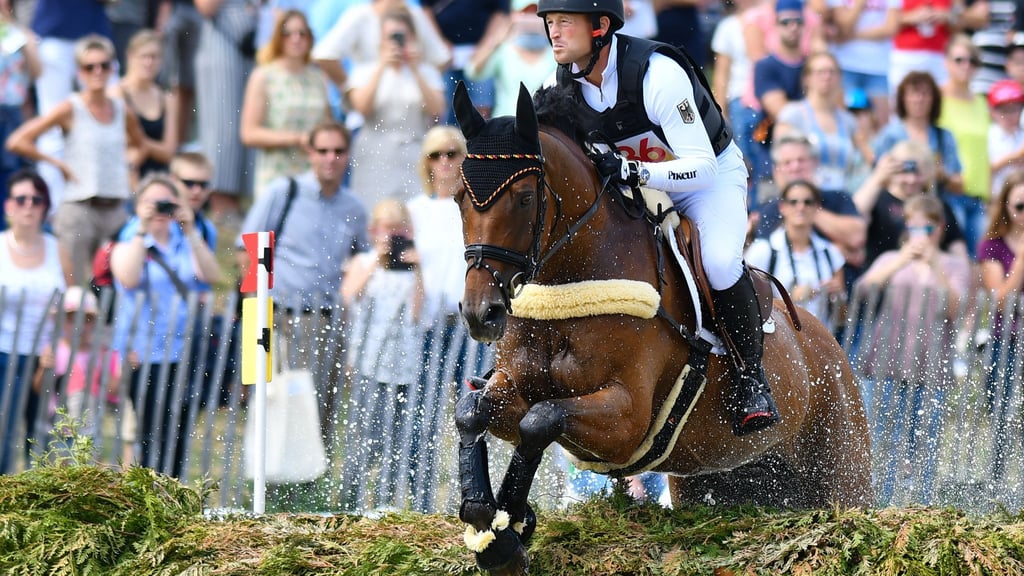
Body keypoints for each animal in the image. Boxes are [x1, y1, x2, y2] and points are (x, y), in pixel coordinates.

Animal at [451, 83, 872, 576]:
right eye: (459, 197)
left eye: (524, 198)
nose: (481, 313)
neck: (570, 278)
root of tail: (832, 349)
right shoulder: (516, 384)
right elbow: (473, 411)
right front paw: (492, 524)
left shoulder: (627, 419)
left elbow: (540, 420)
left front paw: (507, 535)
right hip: (722, 481)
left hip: (842, 474)